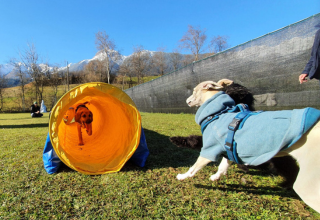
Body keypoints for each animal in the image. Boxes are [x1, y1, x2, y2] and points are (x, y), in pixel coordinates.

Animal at [178, 79, 320, 213]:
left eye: (194, 91)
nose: (186, 100)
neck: (219, 113)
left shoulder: (209, 151)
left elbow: (193, 169)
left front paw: (182, 176)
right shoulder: (227, 149)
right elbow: (222, 166)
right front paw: (215, 177)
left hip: (306, 185)